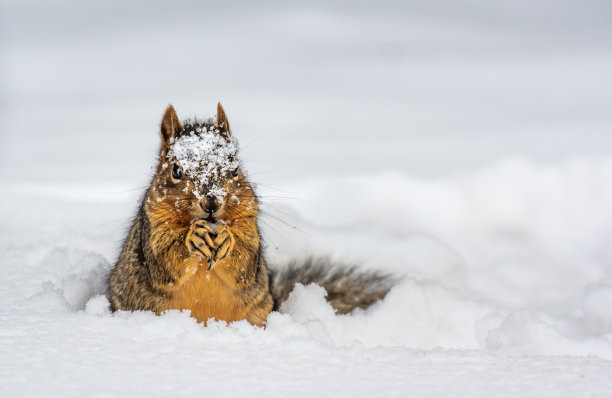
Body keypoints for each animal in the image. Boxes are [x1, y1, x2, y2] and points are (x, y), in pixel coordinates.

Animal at [107, 103, 394, 326]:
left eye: (235, 168)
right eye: (176, 170)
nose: (211, 202)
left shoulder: (249, 222)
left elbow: (245, 262)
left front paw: (228, 240)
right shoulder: (151, 228)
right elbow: (162, 260)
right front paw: (193, 238)